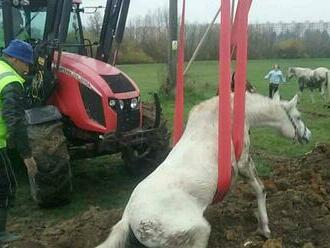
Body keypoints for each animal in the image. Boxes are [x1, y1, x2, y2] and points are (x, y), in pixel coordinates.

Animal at [96, 93, 312, 248]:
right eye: (298, 117)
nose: (308, 135)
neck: (230, 114)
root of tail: (128, 218)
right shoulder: (243, 161)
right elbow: (260, 189)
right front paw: (264, 228)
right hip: (198, 231)